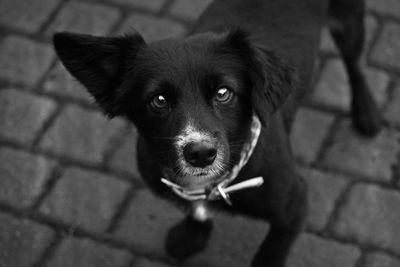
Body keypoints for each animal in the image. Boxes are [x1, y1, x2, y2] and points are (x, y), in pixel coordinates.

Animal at [52, 0, 382, 266]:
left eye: (224, 93)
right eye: (158, 100)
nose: (199, 153)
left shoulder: (294, 208)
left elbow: (269, 255)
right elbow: (194, 210)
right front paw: (192, 235)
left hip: (349, 20)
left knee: (354, 62)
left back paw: (367, 111)